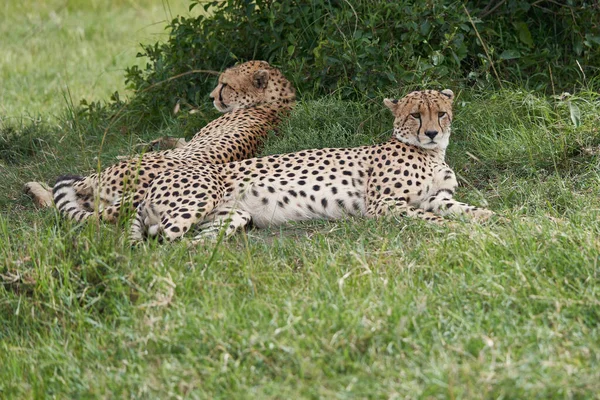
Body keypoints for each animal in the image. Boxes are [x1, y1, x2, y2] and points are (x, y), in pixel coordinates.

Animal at [130, 89, 492, 242]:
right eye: (416, 115)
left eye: (441, 113)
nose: (431, 133)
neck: (430, 153)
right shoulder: (384, 204)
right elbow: (432, 218)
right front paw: (461, 230)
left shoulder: (437, 197)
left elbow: (471, 210)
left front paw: (497, 220)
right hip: (197, 201)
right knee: (151, 244)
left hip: (231, 217)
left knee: (192, 243)